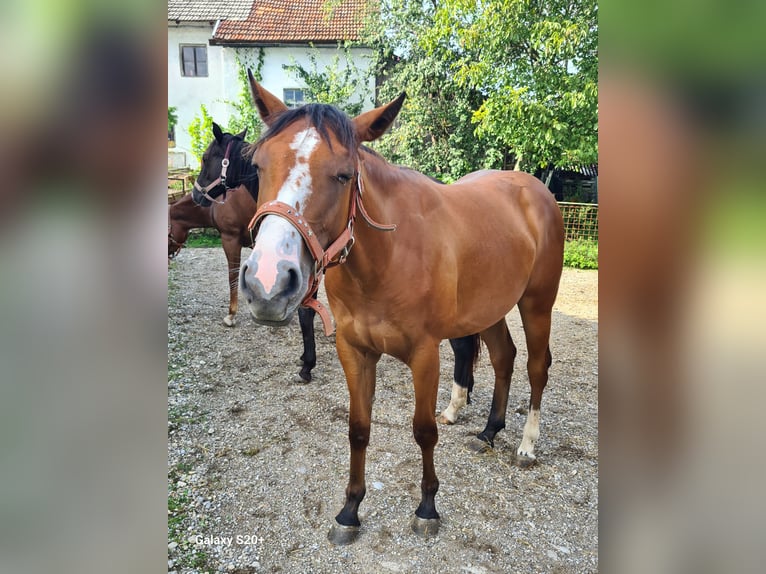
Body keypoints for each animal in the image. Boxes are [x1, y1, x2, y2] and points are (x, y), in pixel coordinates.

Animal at [243, 80, 568, 544]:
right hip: (489, 309)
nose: (267, 282)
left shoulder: (424, 354)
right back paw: (489, 432)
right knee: (505, 358)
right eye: (258, 167)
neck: (387, 257)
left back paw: (526, 445)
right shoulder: (354, 351)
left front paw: (427, 506)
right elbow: (358, 429)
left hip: (537, 304)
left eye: (344, 174)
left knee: (538, 367)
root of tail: (536, 190)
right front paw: (349, 511)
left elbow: (424, 430)